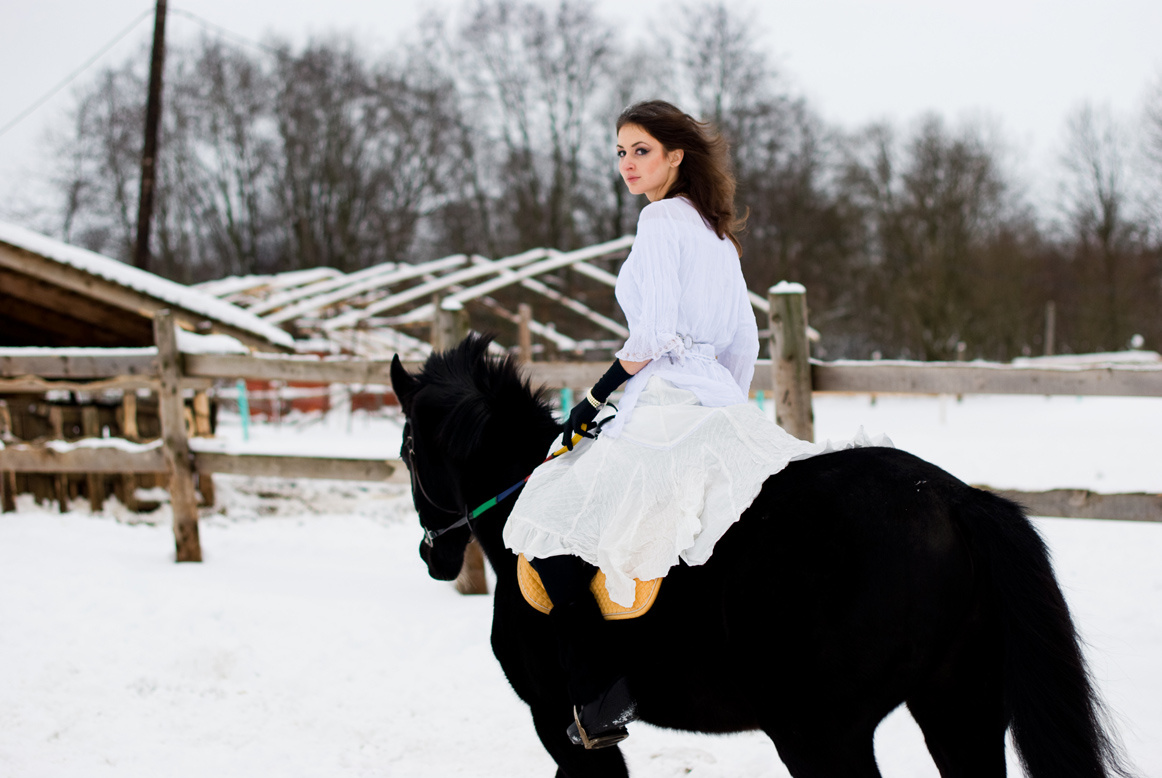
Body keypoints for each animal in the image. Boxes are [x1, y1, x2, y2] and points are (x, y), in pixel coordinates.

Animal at [389, 335, 1132, 778]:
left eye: (406, 449)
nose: (433, 554)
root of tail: (953, 500)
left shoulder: (558, 723)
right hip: (959, 706)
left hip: (822, 732)